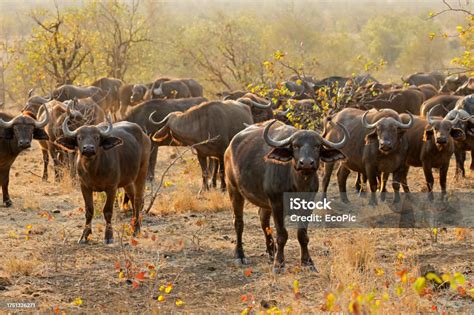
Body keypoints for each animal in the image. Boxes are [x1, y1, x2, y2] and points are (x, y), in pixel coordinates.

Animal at [56, 116, 151, 244]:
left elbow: (107, 211)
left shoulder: (112, 188)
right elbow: (89, 210)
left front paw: (109, 236)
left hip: (142, 171)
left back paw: (136, 229)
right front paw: (84, 236)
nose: (88, 148)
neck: (93, 170)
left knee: (138, 200)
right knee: (132, 196)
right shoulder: (84, 187)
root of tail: (144, 136)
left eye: (97, 137)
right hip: (127, 179)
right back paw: (133, 226)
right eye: (79, 138)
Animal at [224, 119, 346, 272]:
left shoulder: (307, 205)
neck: (297, 184)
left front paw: (308, 262)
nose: (306, 163)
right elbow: (282, 234)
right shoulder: (277, 204)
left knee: (263, 220)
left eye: (317, 146)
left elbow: (302, 234)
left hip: (265, 203)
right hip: (233, 189)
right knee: (239, 222)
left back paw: (271, 253)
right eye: (295, 146)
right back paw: (240, 256)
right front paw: (279, 264)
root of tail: (229, 148)